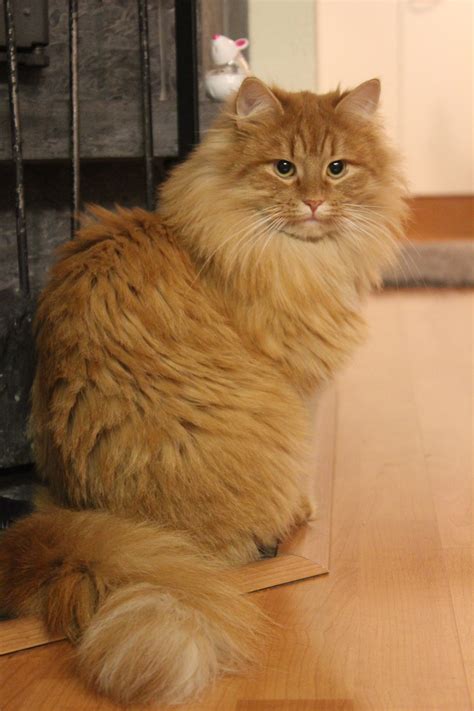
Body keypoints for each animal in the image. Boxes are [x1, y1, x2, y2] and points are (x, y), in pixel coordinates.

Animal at [0, 78, 408, 708]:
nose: (315, 203)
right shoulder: (294, 383)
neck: (296, 257)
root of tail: (91, 519)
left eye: (337, 169)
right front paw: (305, 507)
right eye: (284, 168)